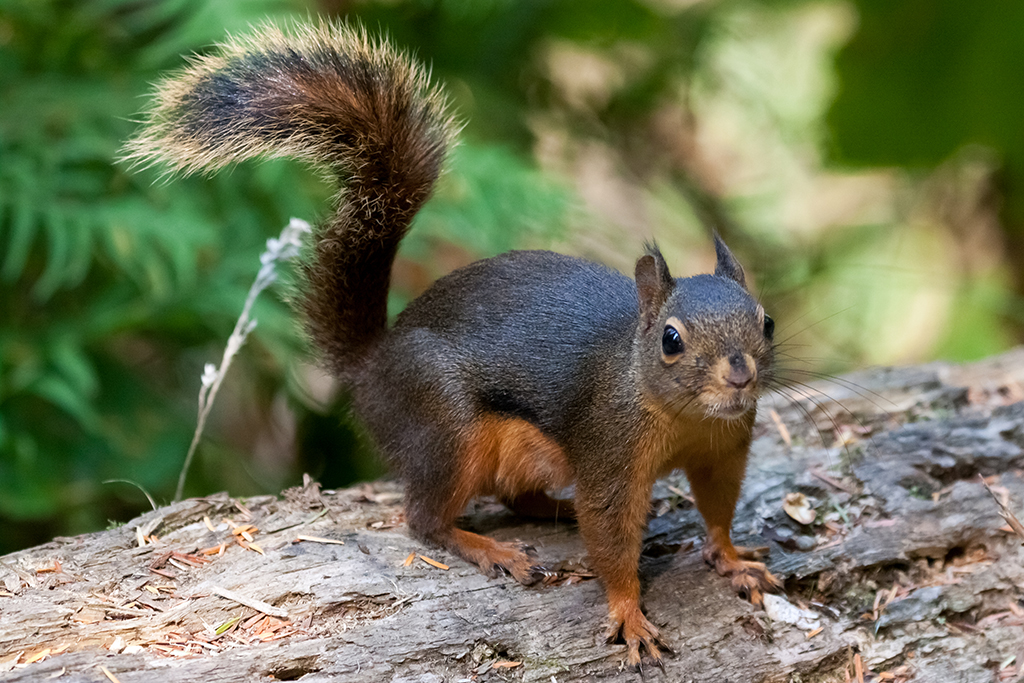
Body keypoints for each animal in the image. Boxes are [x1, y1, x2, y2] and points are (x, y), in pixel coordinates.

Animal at [128, 22, 782, 667]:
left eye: (767, 321)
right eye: (671, 339)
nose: (740, 373)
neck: (680, 414)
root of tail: (372, 366)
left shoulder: (725, 449)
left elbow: (718, 508)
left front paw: (732, 559)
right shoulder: (608, 454)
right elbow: (611, 540)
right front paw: (629, 615)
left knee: (515, 499)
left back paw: (554, 511)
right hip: (447, 428)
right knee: (425, 521)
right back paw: (491, 548)